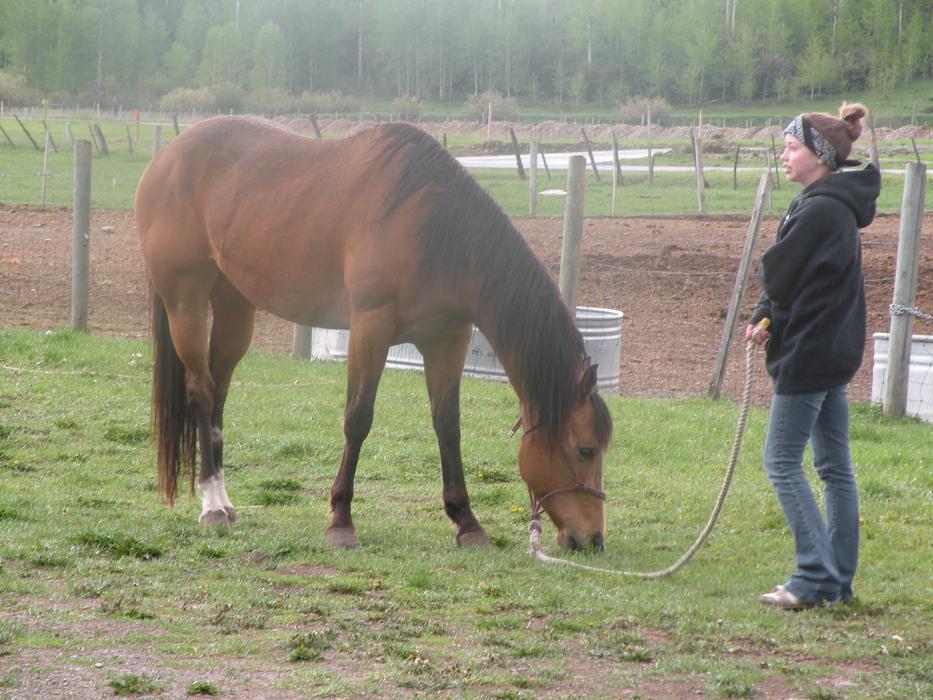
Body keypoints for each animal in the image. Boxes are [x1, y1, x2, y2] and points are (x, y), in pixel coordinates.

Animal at [135, 116, 613, 551]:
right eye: (585, 449)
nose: (592, 539)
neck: (435, 231)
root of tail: (167, 157)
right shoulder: (370, 327)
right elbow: (358, 418)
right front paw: (341, 520)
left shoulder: (448, 340)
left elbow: (448, 424)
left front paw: (467, 522)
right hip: (185, 301)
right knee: (200, 392)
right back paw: (212, 506)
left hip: (236, 307)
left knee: (219, 393)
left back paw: (225, 499)